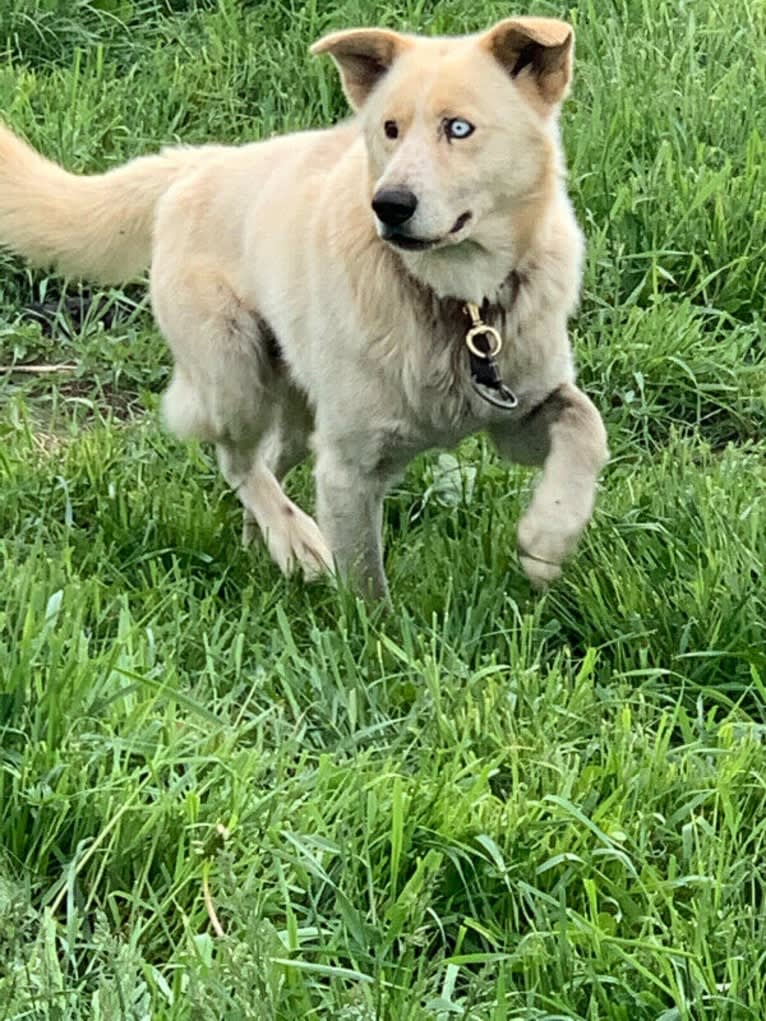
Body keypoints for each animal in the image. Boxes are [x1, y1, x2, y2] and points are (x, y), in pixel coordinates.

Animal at [0, 15, 612, 596]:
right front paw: (372, 633)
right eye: (389, 129)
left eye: (458, 128)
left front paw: (546, 538)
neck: (458, 303)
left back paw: (266, 542)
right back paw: (294, 540)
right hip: (234, 377)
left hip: (293, 405)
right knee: (239, 463)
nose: (389, 205)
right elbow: (364, 587)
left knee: (269, 459)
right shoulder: (349, 465)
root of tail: (201, 162)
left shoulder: (517, 415)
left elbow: (587, 427)